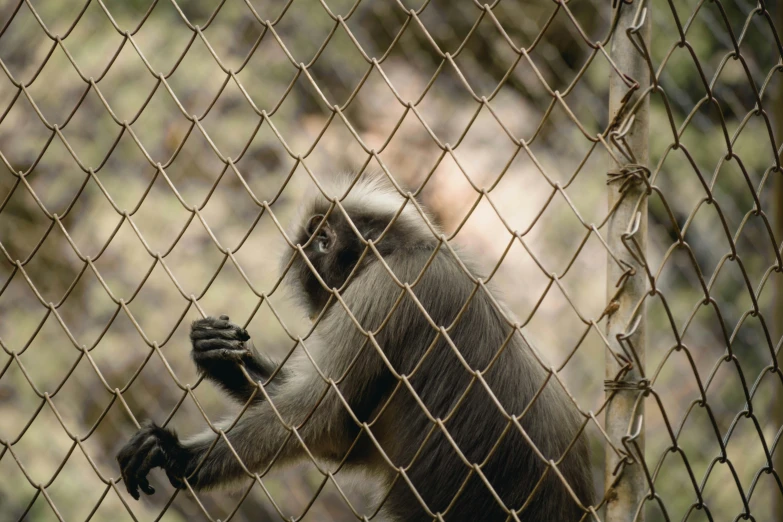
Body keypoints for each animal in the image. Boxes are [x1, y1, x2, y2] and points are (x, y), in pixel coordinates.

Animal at [116, 172, 596, 520]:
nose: (320, 308)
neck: (408, 250)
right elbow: (348, 438)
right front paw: (219, 355)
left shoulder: (386, 289)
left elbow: (324, 420)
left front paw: (176, 454)